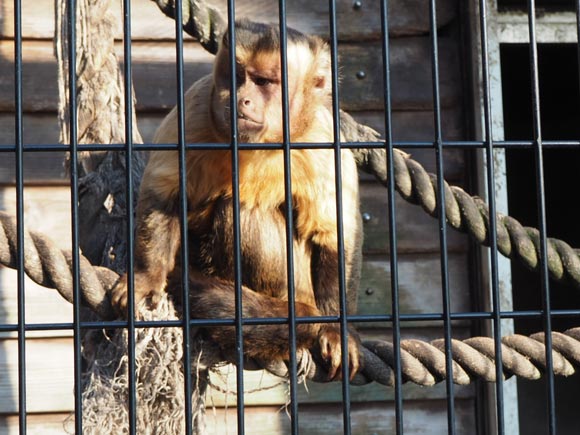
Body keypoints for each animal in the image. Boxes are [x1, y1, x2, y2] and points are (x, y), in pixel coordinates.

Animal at [110, 19, 360, 382]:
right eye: (237, 75)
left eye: (264, 82)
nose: (242, 99)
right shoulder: (197, 108)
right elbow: (164, 194)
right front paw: (146, 275)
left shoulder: (322, 136)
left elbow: (334, 233)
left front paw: (336, 330)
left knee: (243, 212)